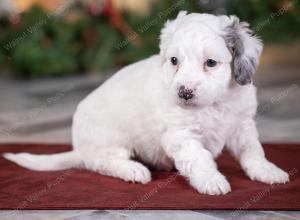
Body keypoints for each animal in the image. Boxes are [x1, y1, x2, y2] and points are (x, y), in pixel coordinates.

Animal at [3, 11, 290, 194]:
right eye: (174, 61)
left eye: (210, 63)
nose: (184, 92)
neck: (214, 104)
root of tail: (80, 149)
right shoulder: (180, 135)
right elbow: (199, 158)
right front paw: (211, 181)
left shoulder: (242, 125)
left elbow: (253, 151)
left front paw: (268, 171)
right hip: (111, 141)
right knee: (104, 163)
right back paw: (133, 170)